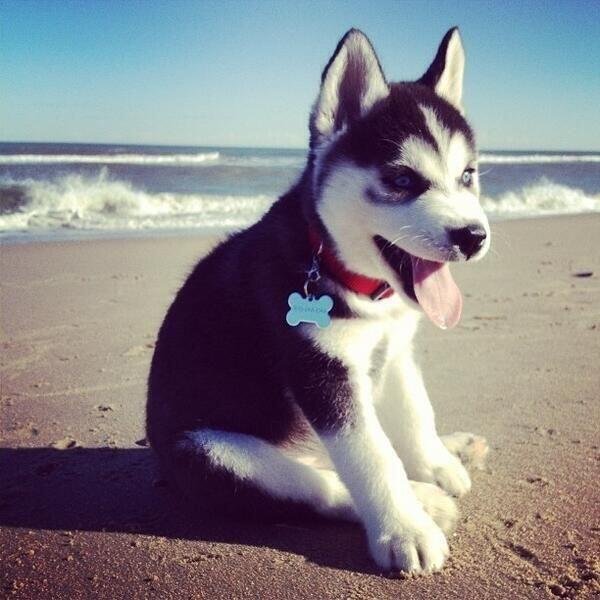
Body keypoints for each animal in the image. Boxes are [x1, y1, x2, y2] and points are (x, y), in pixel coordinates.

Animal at [148, 28, 490, 576]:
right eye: (401, 181)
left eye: (467, 176)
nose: (474, 236)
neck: (341, 268)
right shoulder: (320, 370)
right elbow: (373, 457)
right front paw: (405, 529)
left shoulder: (394, 348)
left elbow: (416, 409)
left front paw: (434, 459)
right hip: (211, 455)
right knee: (324, 486)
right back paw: (423, 503)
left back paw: (453, 451)